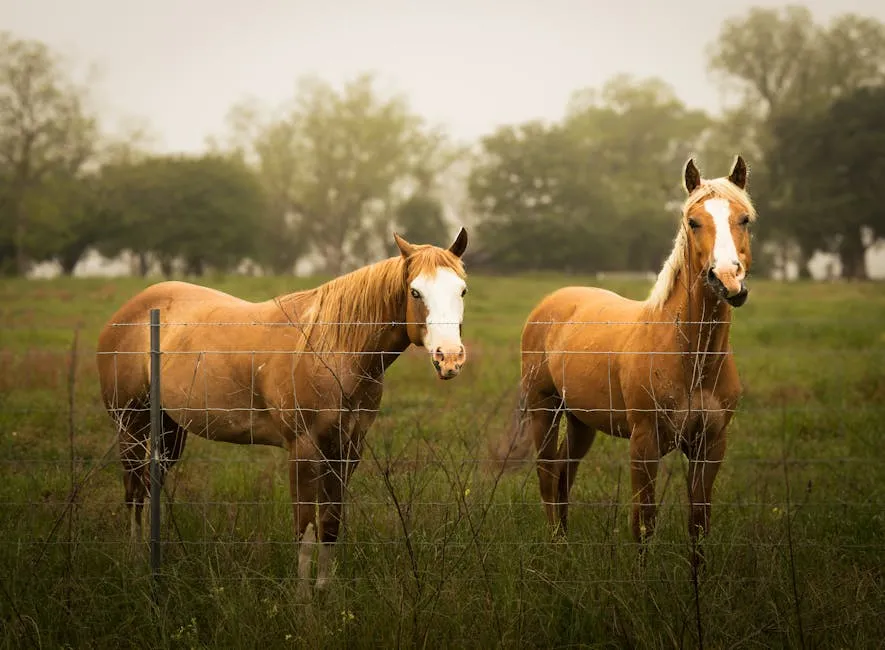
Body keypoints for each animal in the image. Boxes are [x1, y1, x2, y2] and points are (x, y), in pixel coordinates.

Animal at [96, 228, 469, 598]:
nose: (449, 357)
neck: (331, 350)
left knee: (148, 486)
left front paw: (325, 593)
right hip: (131, 426)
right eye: (415, 291)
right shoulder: (303, 450)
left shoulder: (345, 450)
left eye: (462, 289)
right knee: (133, 491)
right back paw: (135, 562)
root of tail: (125, 314)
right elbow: (304, 528)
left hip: (169, 430)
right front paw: (303, 602)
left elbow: (329, 524)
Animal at [493, 156, 755, 562]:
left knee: (564, 474)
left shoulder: (710, 445)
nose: (727, 279)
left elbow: (699, 524)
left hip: (581, 420)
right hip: (544, 410)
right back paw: (557, 549)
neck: (691, 356)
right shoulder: (644, 443)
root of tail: (552, 301)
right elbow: (643, 523)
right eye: (693, 221)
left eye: (744, 219)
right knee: (548, 475)